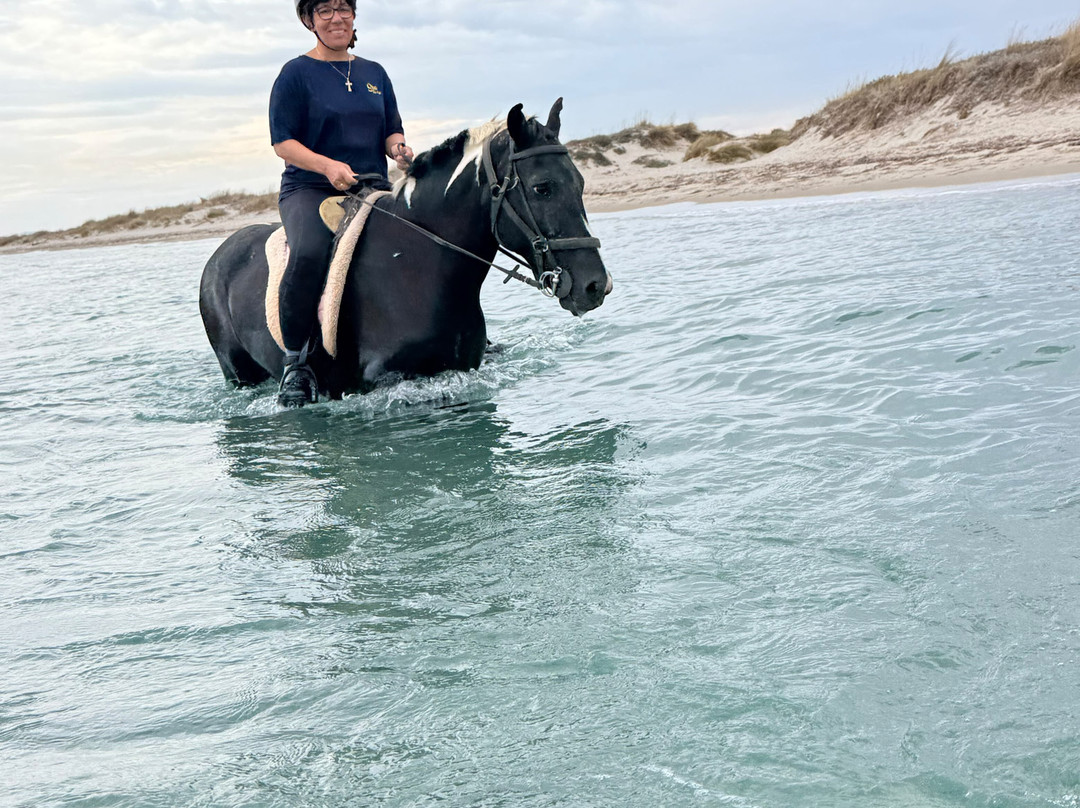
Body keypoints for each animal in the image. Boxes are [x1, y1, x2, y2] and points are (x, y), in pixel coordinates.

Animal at [199, 98, 611, 400]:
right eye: (543, 187)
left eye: (580, 183)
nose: (595, 286)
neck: (419, 266)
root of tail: (220, 253)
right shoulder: (389, 380)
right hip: (239, 373)